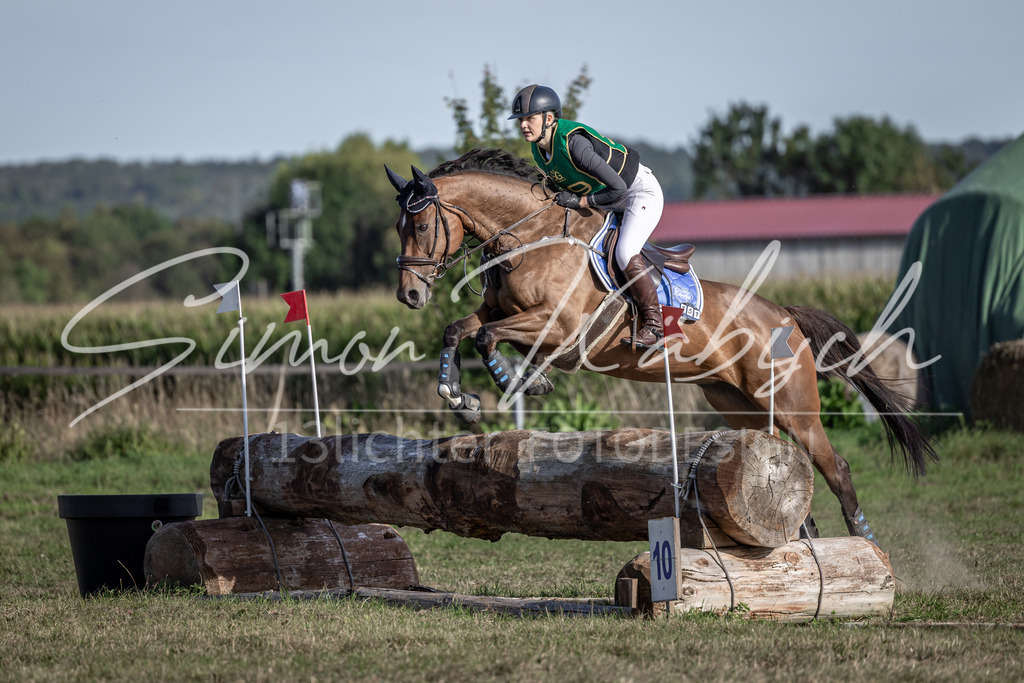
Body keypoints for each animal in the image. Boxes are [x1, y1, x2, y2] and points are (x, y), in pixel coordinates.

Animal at [385, 148, 934, 544]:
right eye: (399, 227)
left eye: (422, 225)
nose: (408, 295)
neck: (533, 237)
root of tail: (783, 315)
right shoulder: (501, 312)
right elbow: (459, 329)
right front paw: (460, 398)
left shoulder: (558, 327)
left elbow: (486, 337)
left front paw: (516, 381)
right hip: (741, 404)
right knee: (780, 455)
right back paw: (800, 535)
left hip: (796, 406)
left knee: (835, 466)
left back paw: (864, 541)